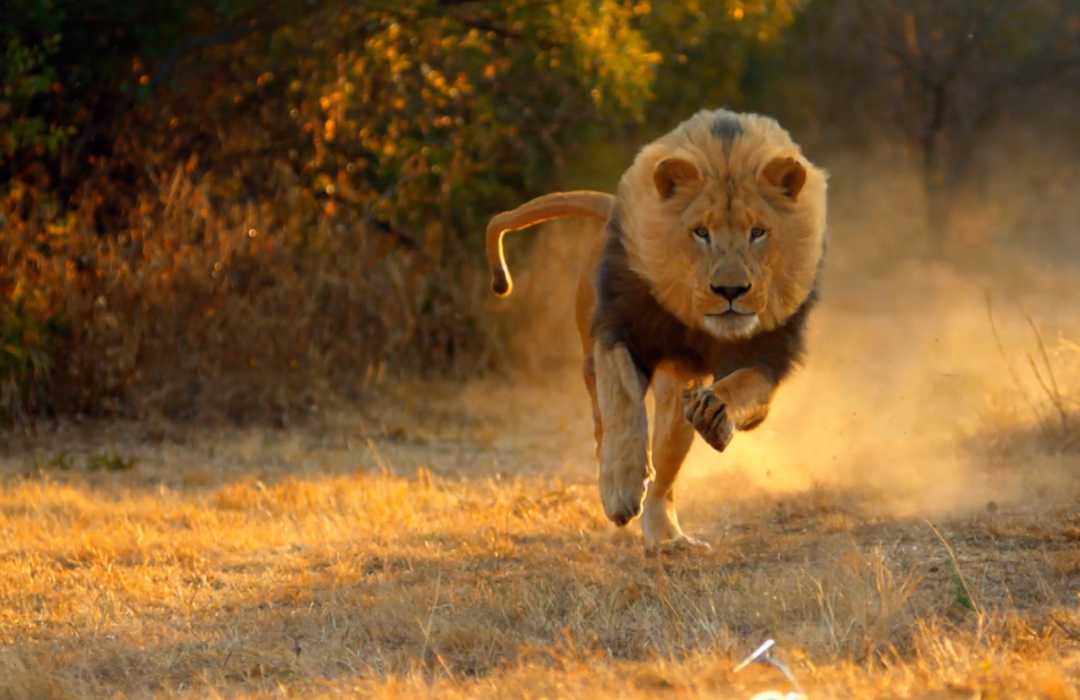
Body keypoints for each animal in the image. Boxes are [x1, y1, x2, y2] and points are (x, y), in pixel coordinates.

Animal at [485, 109, 827, 551]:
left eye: (758, 232)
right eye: (700, 232)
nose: (730, 290)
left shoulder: (767, 358)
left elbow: (741, 386)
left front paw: (714, 413)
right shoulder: (619, 332)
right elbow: (622, 403)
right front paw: (620, 488)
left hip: (676, 396)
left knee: (666, 477)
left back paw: (669, 538)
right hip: (593, 351)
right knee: (601, 419)